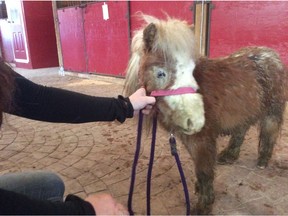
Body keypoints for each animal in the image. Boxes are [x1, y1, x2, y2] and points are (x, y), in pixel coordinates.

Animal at [124, 15, 288, 214]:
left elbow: (204, 171)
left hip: (272, 112)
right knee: (241, 130)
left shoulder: (202, 140)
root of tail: (271, 55)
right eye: (160, 73)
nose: (195, 121)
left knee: (269, 132)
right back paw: (229, 156)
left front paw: (203, 205)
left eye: (191, 71)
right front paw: (199, 191)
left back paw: (263, 159)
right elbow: (200, 168)